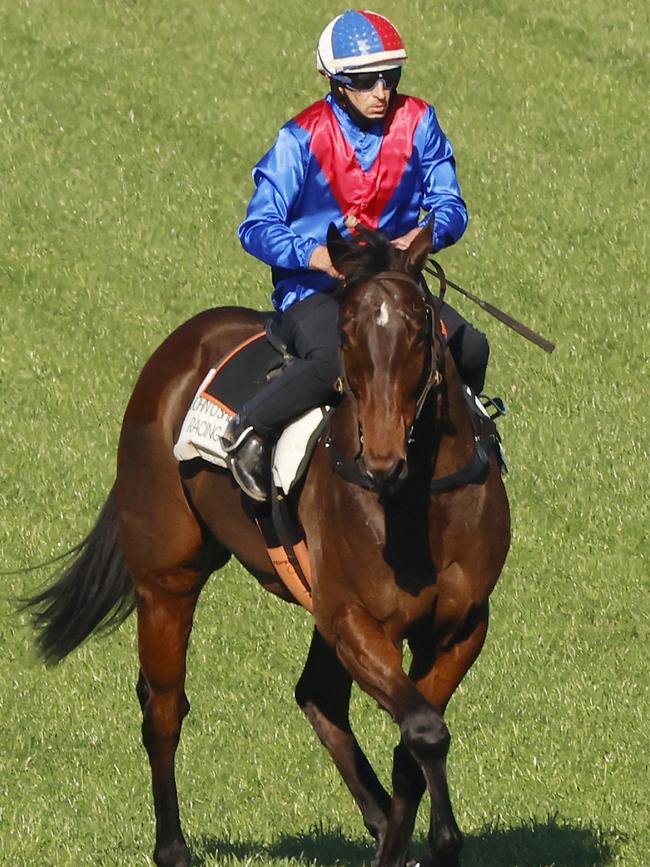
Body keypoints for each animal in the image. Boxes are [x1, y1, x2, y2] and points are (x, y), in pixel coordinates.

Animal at [27, 227, 508, 867]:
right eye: (345, 333)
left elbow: (416, 736)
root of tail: (182, 344)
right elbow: (425, 731)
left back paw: (381, 820)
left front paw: (416, 840)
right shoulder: (356, 619)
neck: (418, 504)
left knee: (318, 698)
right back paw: (172, 847)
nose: (381, 459)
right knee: (163, 706)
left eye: (419, 326)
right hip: (167, 577)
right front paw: (427, 842)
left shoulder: (459, 628)